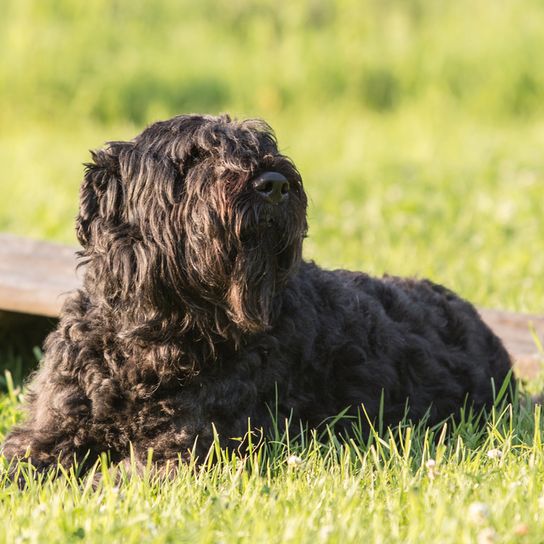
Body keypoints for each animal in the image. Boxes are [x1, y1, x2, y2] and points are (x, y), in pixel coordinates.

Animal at [1, 115, 510, 476]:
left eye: (265, 147)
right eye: (191, 159)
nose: (274, 184)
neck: (153, 334)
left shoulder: (186, 445)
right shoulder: (44, 433)